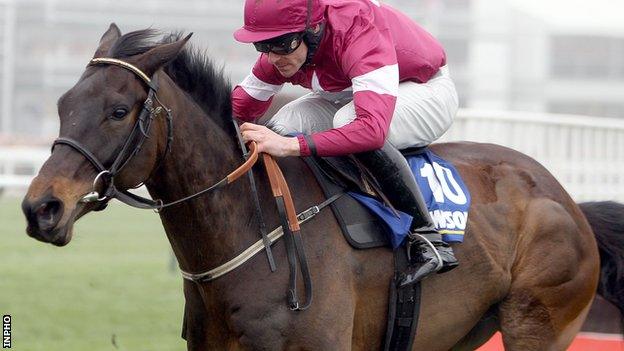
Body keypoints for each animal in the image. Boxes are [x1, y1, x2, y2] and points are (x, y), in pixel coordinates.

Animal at [22, 24, 620, 350]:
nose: (40, 208)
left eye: (118, 111)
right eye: (63, 104)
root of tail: (565, 199)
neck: (256, 233)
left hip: (538, 322)